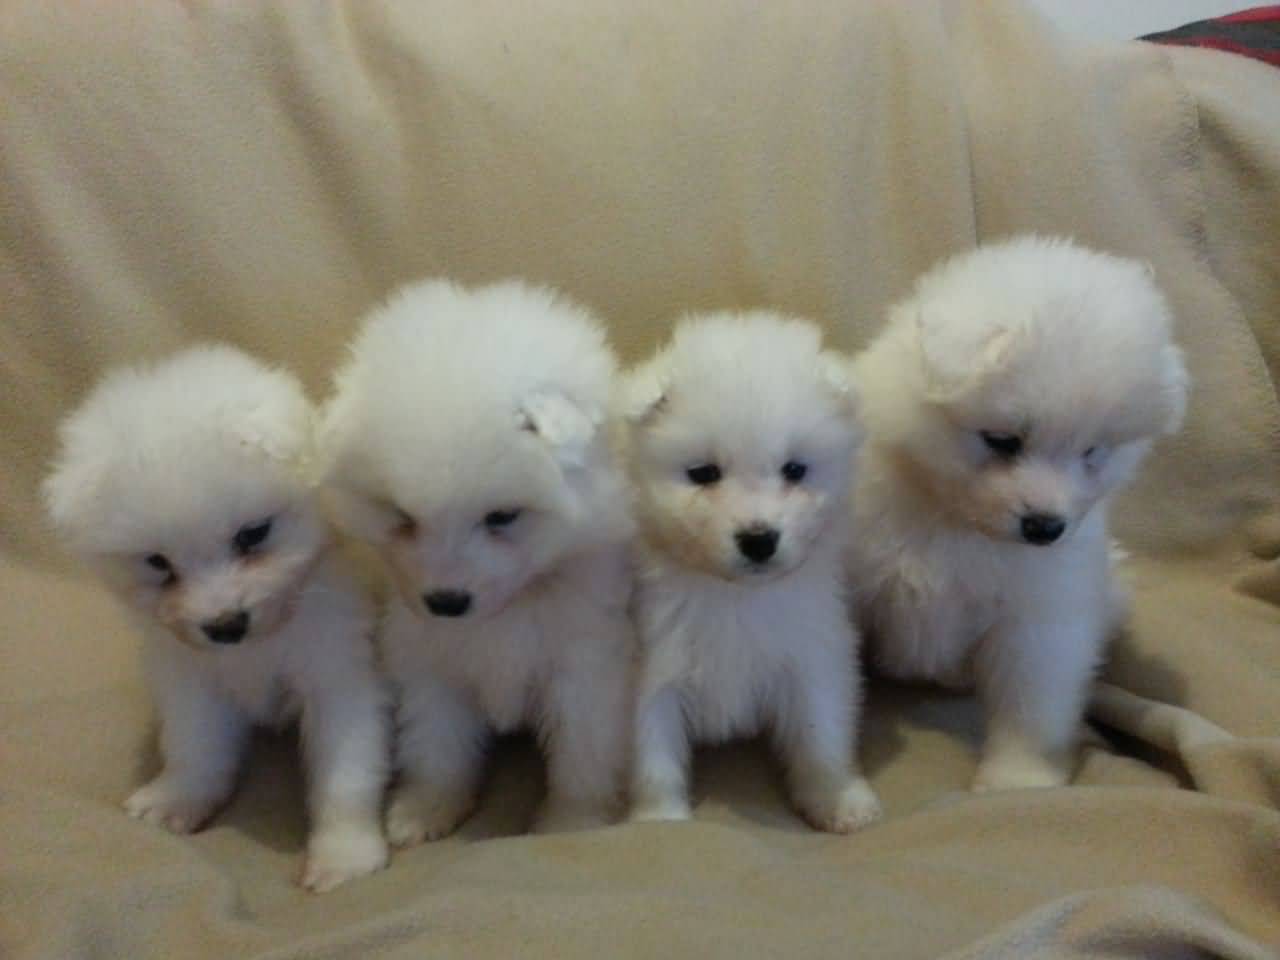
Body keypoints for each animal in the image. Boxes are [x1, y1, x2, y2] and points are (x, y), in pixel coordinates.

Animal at [45, 345, 389, 896]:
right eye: (158, 563)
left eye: (252, 534)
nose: (226, 625)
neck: (259, 645)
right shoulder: (190, 680)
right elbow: (195, 748)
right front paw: (176, 800)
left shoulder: (340, 678)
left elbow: (346, 772)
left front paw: (345, 855)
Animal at [322, 277, 637, 839]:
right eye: (402, 516)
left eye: (502, 516)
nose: (446, 602)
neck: (511, 607)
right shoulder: (428, 660)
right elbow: (437, 742)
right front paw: (427, 806)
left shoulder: (586, 661)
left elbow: (582, 754)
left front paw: (571, 822)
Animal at [616, 313, 880, 834]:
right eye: (703, 473)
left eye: (795, 470)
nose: (759, 539)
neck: (733, 595)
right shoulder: (647, 672)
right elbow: (653, 759)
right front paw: (659, 821)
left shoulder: (811, 656)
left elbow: (821, 738)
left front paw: (838, 798)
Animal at [849, 236, 1187, 793]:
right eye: (1003, 440)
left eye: (1093, 451)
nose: (1046, 528)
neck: (954, 523)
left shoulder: (1039, 619)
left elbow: (1032, 706)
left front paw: (1018, 781)